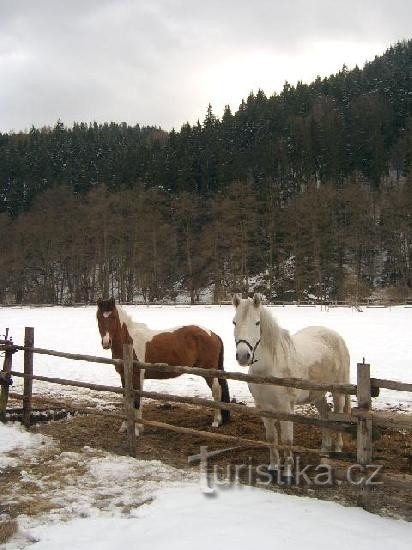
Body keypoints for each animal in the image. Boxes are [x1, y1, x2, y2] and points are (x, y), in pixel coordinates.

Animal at [97, 298, 232, 436]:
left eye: (113, 317)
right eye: (99, 318)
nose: (106, 343)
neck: (130, 341)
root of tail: (212, 334)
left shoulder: (137, 376)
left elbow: (136, 400)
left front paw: (137, 428)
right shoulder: (123, 376)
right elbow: (126, 398)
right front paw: (125, 426)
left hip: (209, 371)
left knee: (216, 391)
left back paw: (216, 421)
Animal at [233, 296, 350, 472]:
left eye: (257, 323)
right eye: (234, 322)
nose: (243, 356)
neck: (268, 370)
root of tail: (337, 337)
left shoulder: (285, 408)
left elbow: (287, 440)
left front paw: (288, 470)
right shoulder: (263, 407)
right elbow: (271, 437)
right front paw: (274, 466)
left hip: (338, 392)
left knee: (337, 418)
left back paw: (337, 449)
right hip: (317, 394)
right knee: (325, 415)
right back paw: (324, 451)